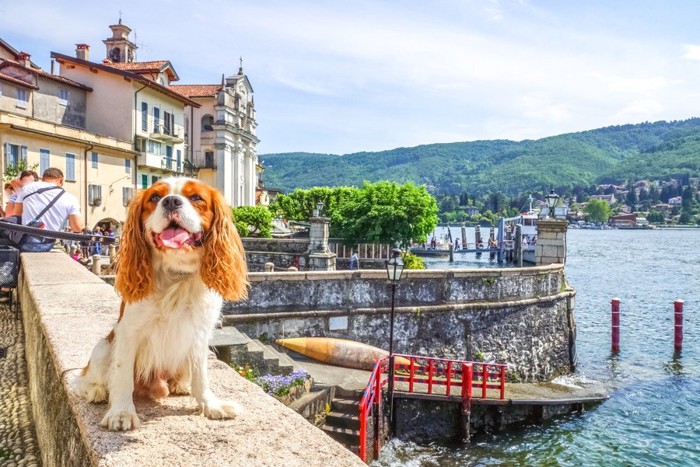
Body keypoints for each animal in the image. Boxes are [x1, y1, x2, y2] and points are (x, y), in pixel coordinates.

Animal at [72, 176, 247, 432]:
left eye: (197, 198)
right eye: (155, 197)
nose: (171, 201)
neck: (175, 273)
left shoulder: (199, 334)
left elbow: (201, 375)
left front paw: (210, 405)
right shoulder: (128, 333)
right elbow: (121, 374)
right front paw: (121, 412)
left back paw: (180, 385)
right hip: (103, 347)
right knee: (84, 379)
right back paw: (98, 391)